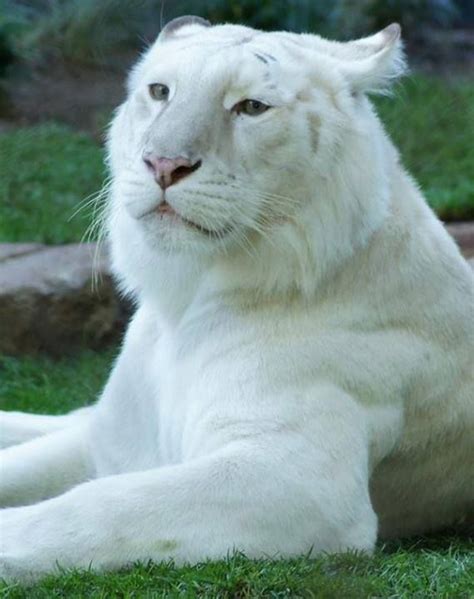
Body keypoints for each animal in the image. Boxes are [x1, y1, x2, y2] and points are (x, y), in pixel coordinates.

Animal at [0, 17, 474, 580]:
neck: (183, 299)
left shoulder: (301, 480)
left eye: (250, 107)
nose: (163, 164)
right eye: (160, 92)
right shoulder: (116, 439)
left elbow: (101, 504)